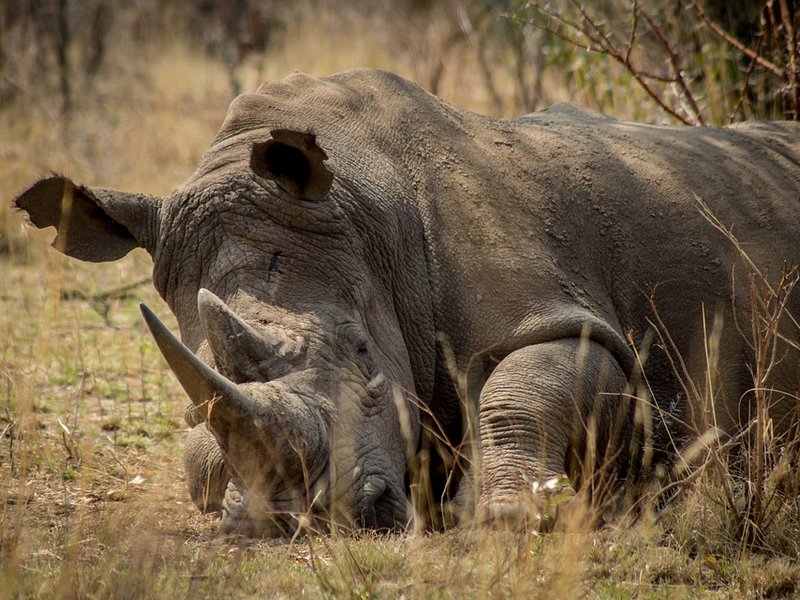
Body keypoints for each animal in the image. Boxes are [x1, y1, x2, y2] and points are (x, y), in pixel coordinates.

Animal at [13, 69, 800, 535]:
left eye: (365, 354)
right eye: (192, 397)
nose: (305, 522)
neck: (367, 210)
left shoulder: (560, 313)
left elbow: (521, 387)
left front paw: (505, 513)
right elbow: (201, 459)